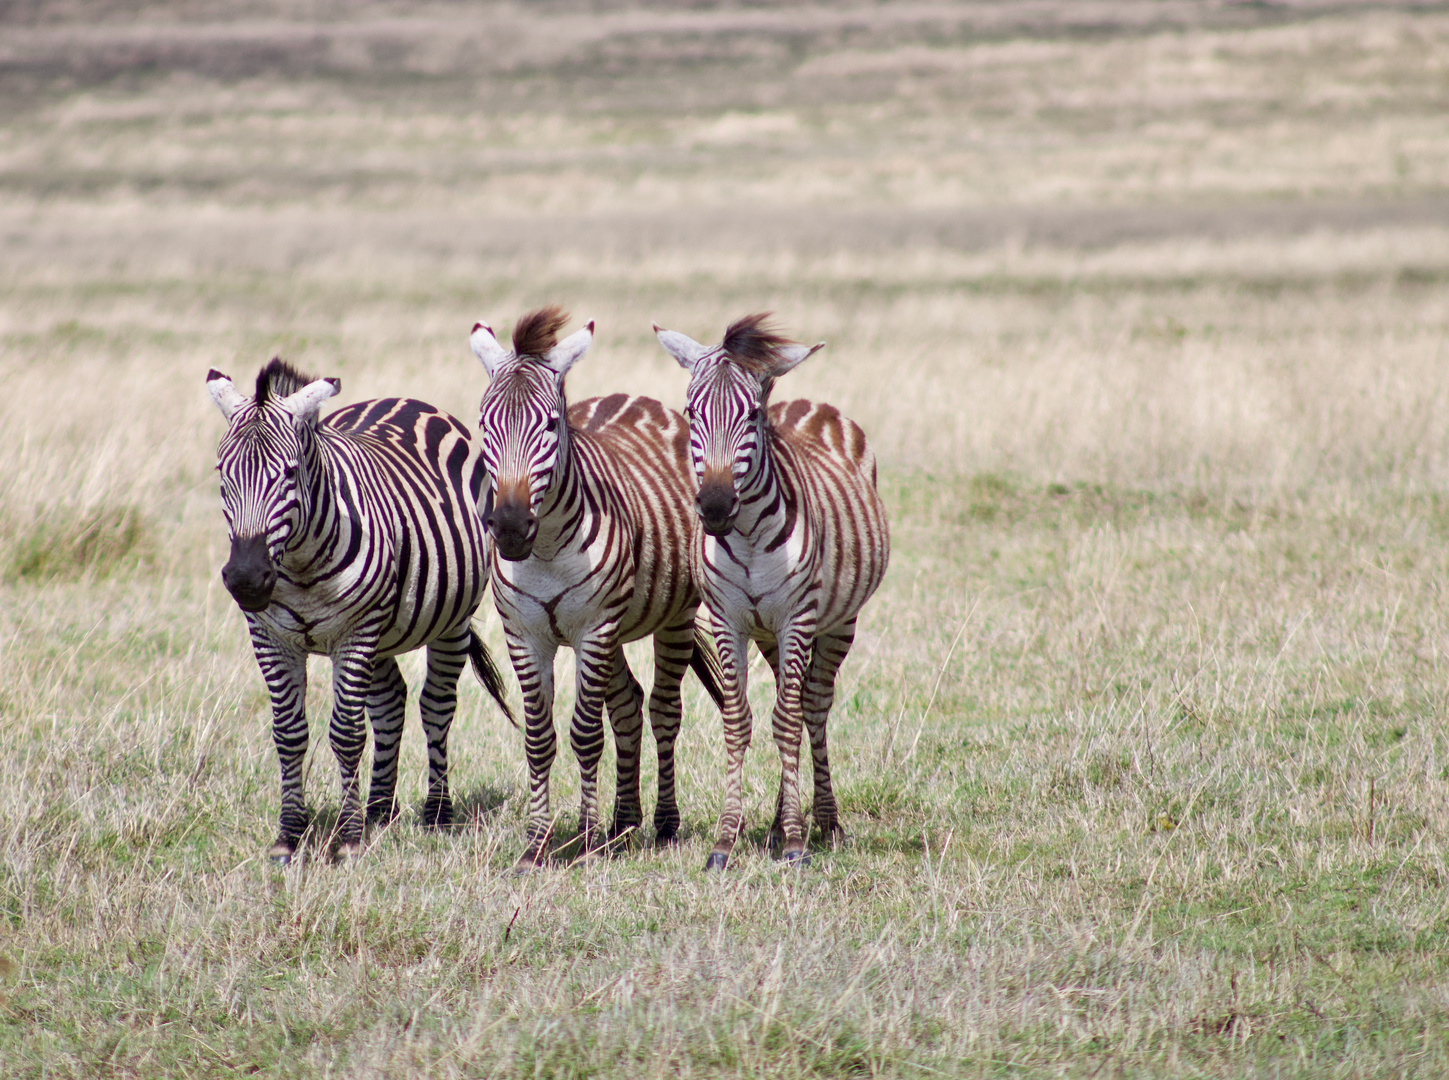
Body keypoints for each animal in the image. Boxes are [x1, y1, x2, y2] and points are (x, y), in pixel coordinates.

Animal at [208, 358, 515, 864]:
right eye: (222, 474)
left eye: (289, 473)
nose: (247, 579)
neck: (299, 564)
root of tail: (405, 399)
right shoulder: (270, 638)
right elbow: (289, 734)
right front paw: (290, 836)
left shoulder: (354, 634)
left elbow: (347, 733)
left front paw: (348, 840)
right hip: (383, 633)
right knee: (391, 702)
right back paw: (379, 810)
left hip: (448, 622)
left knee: (436, 706)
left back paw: (436, 813)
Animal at [466, 302, 721, 869]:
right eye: (485, 425)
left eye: (550, 425)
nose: (509, 527)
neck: (545, 551)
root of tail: (636, 397)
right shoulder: (525, 634)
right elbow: (540, 738)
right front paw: (538, 844)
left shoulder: (593, 629)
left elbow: (585, 733)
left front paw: (583, 843)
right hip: (617, 628)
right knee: (627, 702)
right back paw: (623, 824)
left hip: (671, 617)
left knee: (663, 710)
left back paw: (663, 824)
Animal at [654, 311, 880, 869]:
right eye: (690, 412)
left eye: (753, 414)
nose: (714, 506)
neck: (751, 537)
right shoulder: (728, 620)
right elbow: (739, 720)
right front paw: (725, 841)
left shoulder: (798, 617)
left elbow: (788, 721)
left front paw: (798, 840)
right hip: (769, 634)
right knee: (791, 700)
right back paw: (779, 825)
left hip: (838, 621)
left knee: (811, 706)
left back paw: (824, 823)